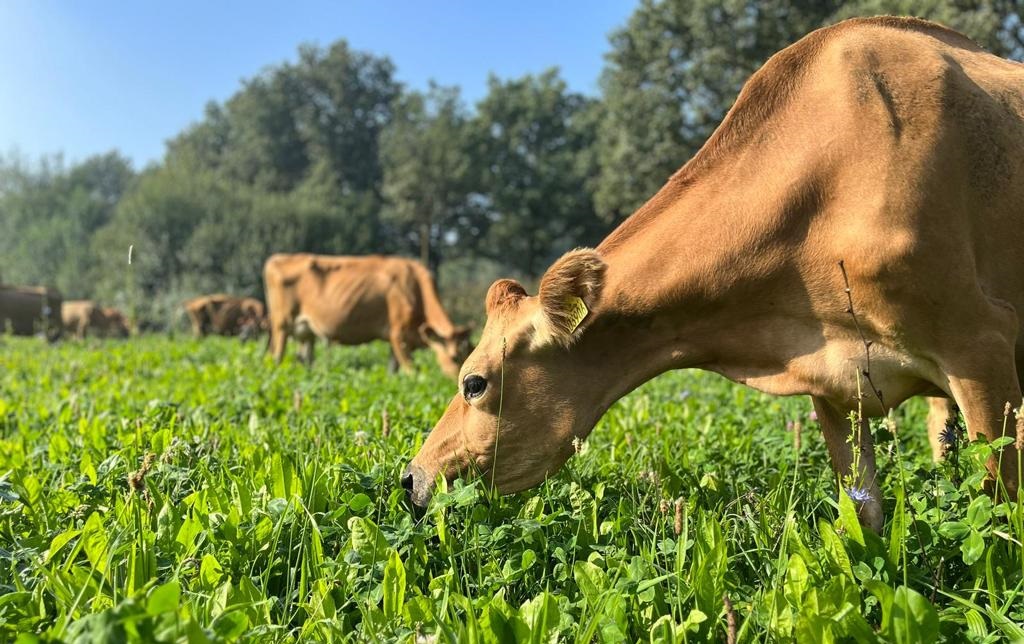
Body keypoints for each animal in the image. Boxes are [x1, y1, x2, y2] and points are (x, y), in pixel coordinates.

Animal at [263, 253, 473, 378]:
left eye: (471, 351)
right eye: (455, 357)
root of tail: (279, 257)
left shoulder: (395, 342)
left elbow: (393, 370)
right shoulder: (399, 335)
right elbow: (411, 371)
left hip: (306, 331)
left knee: (305, 359)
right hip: (282, 324)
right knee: (276, 356)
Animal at [404, 17, 1024, 532]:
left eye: (473, 382)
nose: (411, 477)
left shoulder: (981, 345)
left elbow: (1000, 504)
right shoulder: (834, 381)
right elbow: (862, 512)